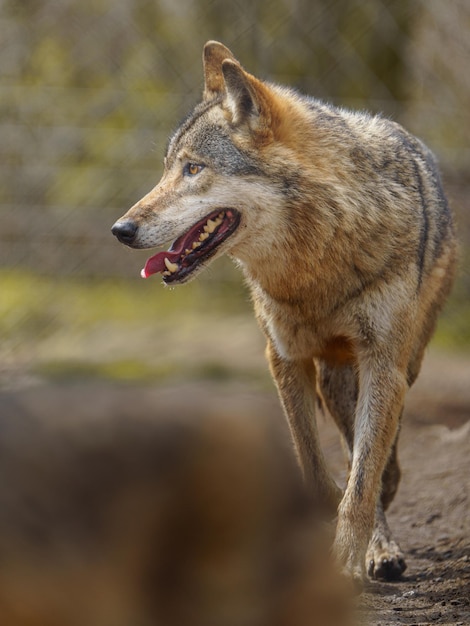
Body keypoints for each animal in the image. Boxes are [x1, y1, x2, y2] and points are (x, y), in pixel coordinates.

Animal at [112, 41, 458, 584]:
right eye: (168, 167)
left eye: (194, 168)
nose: (120, 229)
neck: (313, 270)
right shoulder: (285, 358)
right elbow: (317, 470)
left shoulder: (383, 364)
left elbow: (362, 481)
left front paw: (346, 563)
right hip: (335, 377)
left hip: (404, 362)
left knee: (380, 454)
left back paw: (381, 539)